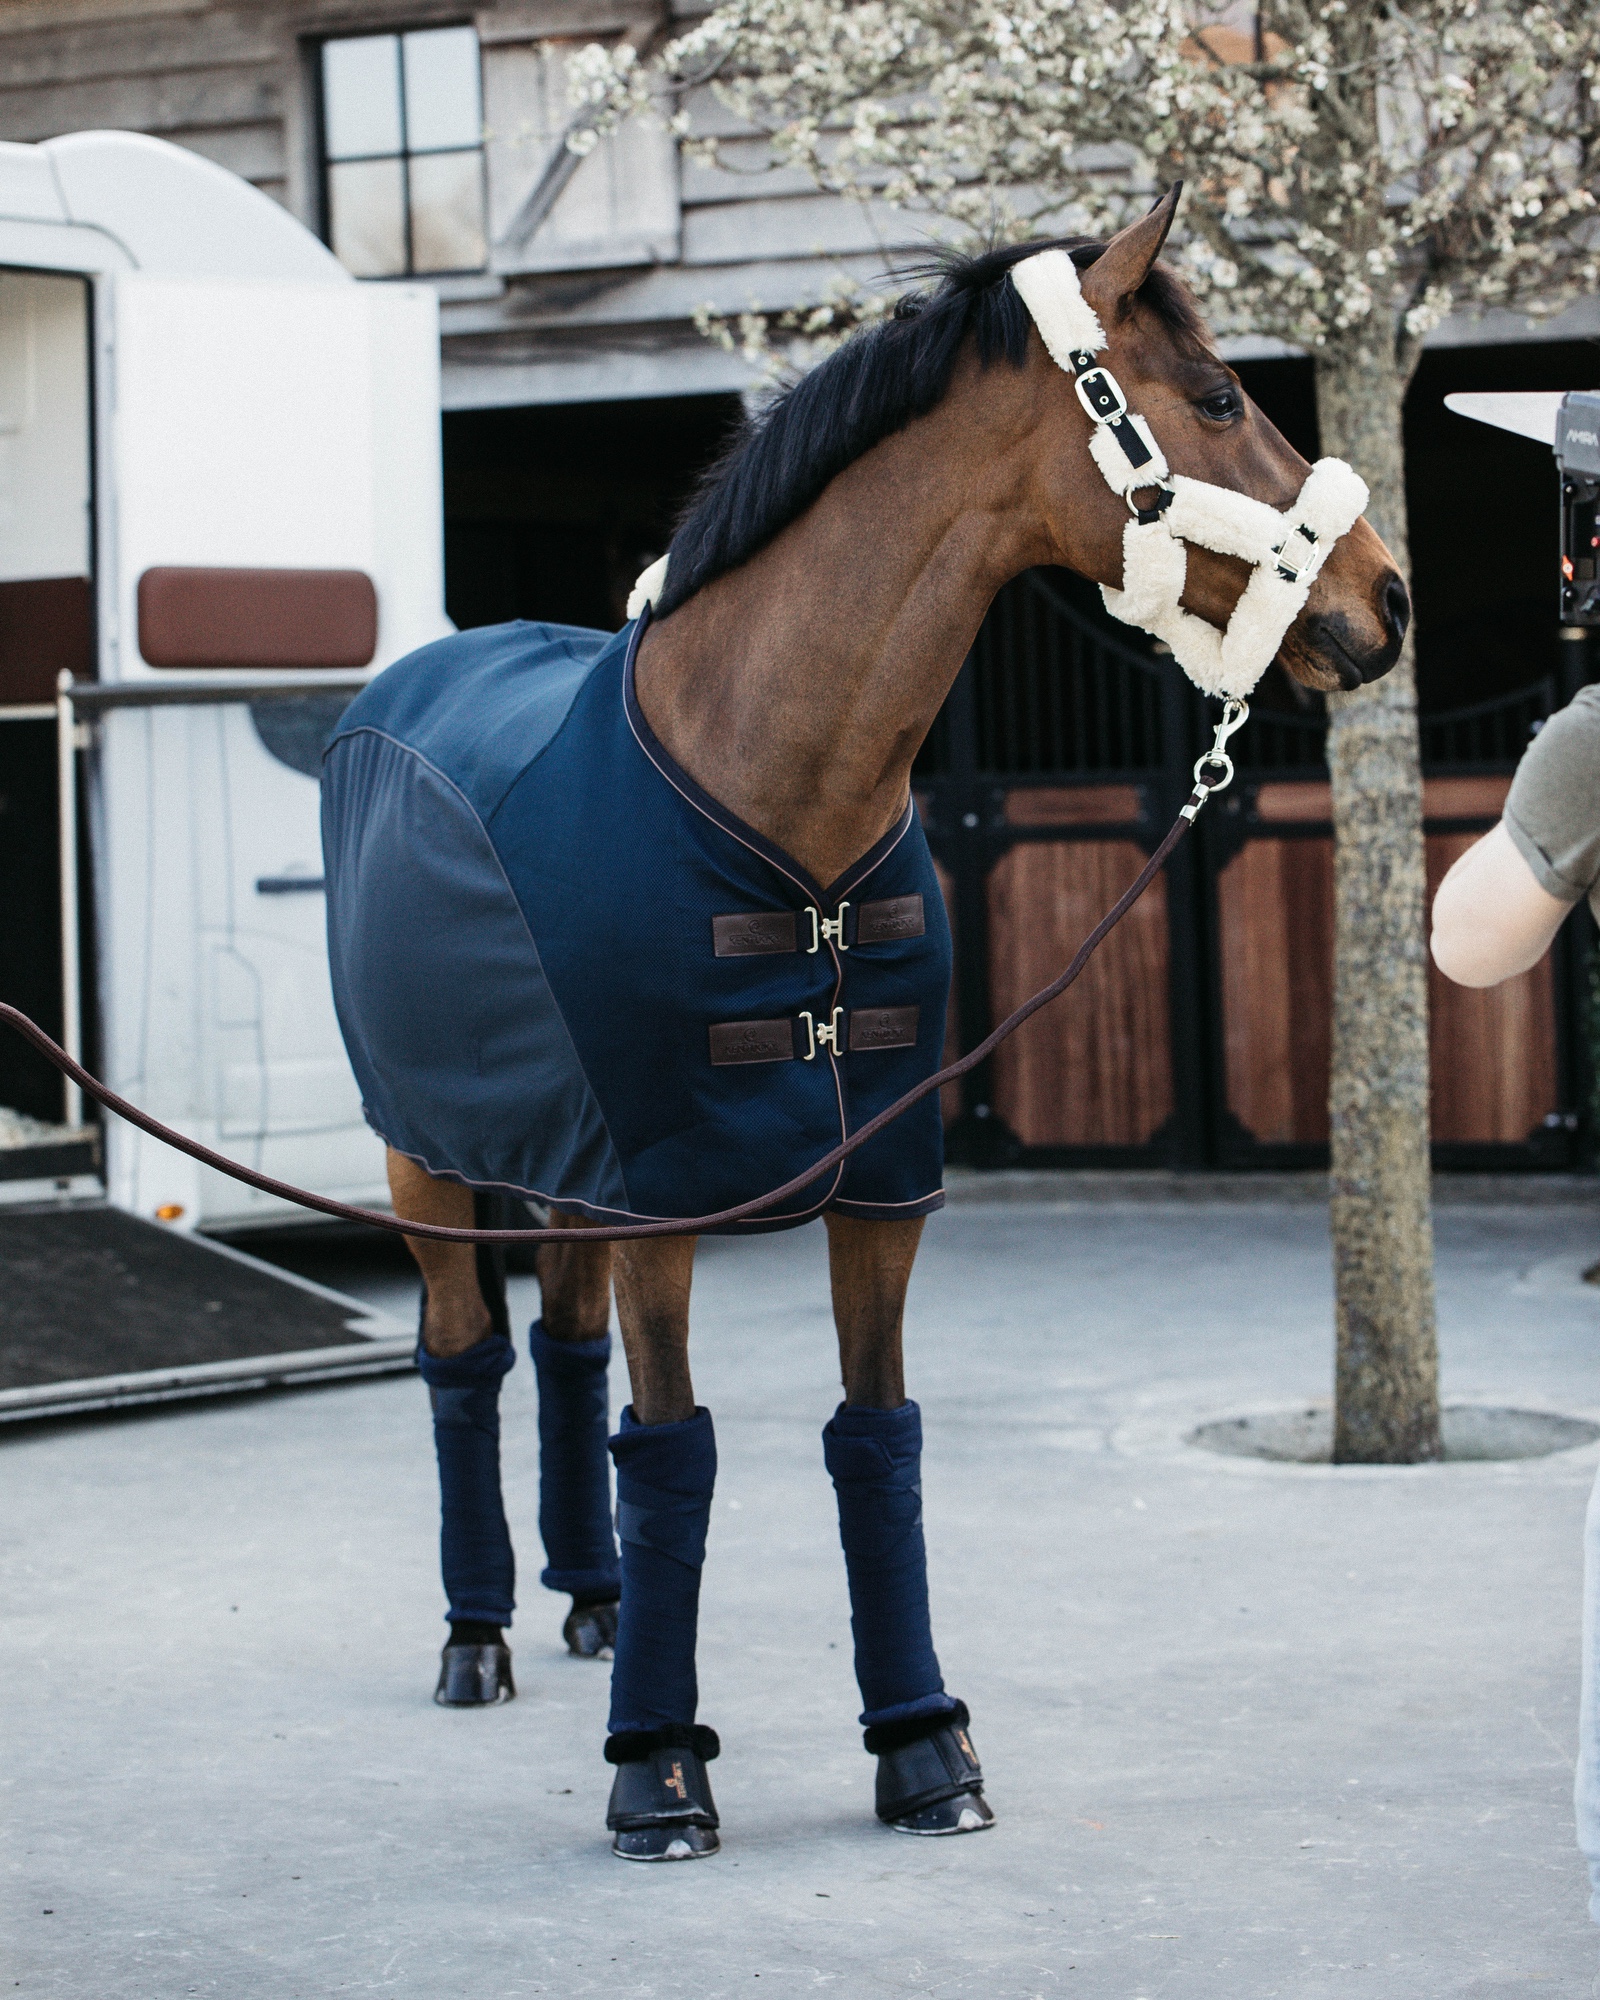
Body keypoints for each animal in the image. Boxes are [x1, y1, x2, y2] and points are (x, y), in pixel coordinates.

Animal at [322, 188, 1400, 1856]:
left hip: (560, 1163)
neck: (775, 788)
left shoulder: (877, 1193)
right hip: (427, 1163)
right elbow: (674, 1448)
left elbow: (872, 1440)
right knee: (463, 1361)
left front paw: (925, 1746)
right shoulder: (665, 1207)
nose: (1388, 598)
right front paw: (658, 1770)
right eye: (1223, 400)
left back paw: (588, 1601)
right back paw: (478, 1632)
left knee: (559, 1353)